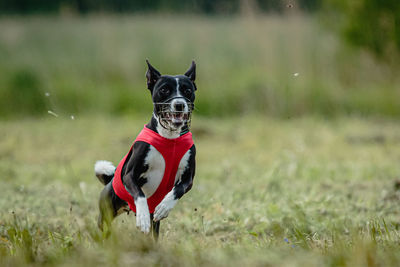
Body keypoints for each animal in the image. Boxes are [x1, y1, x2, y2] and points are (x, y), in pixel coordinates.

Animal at [94, 59, 197, 240]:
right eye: (164, 90)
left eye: (187, 90)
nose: (179, 104)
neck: (169, 138)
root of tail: (109, 181)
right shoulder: (129, 175)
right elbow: (140, 195)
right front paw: (142, 218)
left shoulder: (188, 179)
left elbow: (177, 190)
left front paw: (164, 207)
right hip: (106, 214)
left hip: (153, 225)